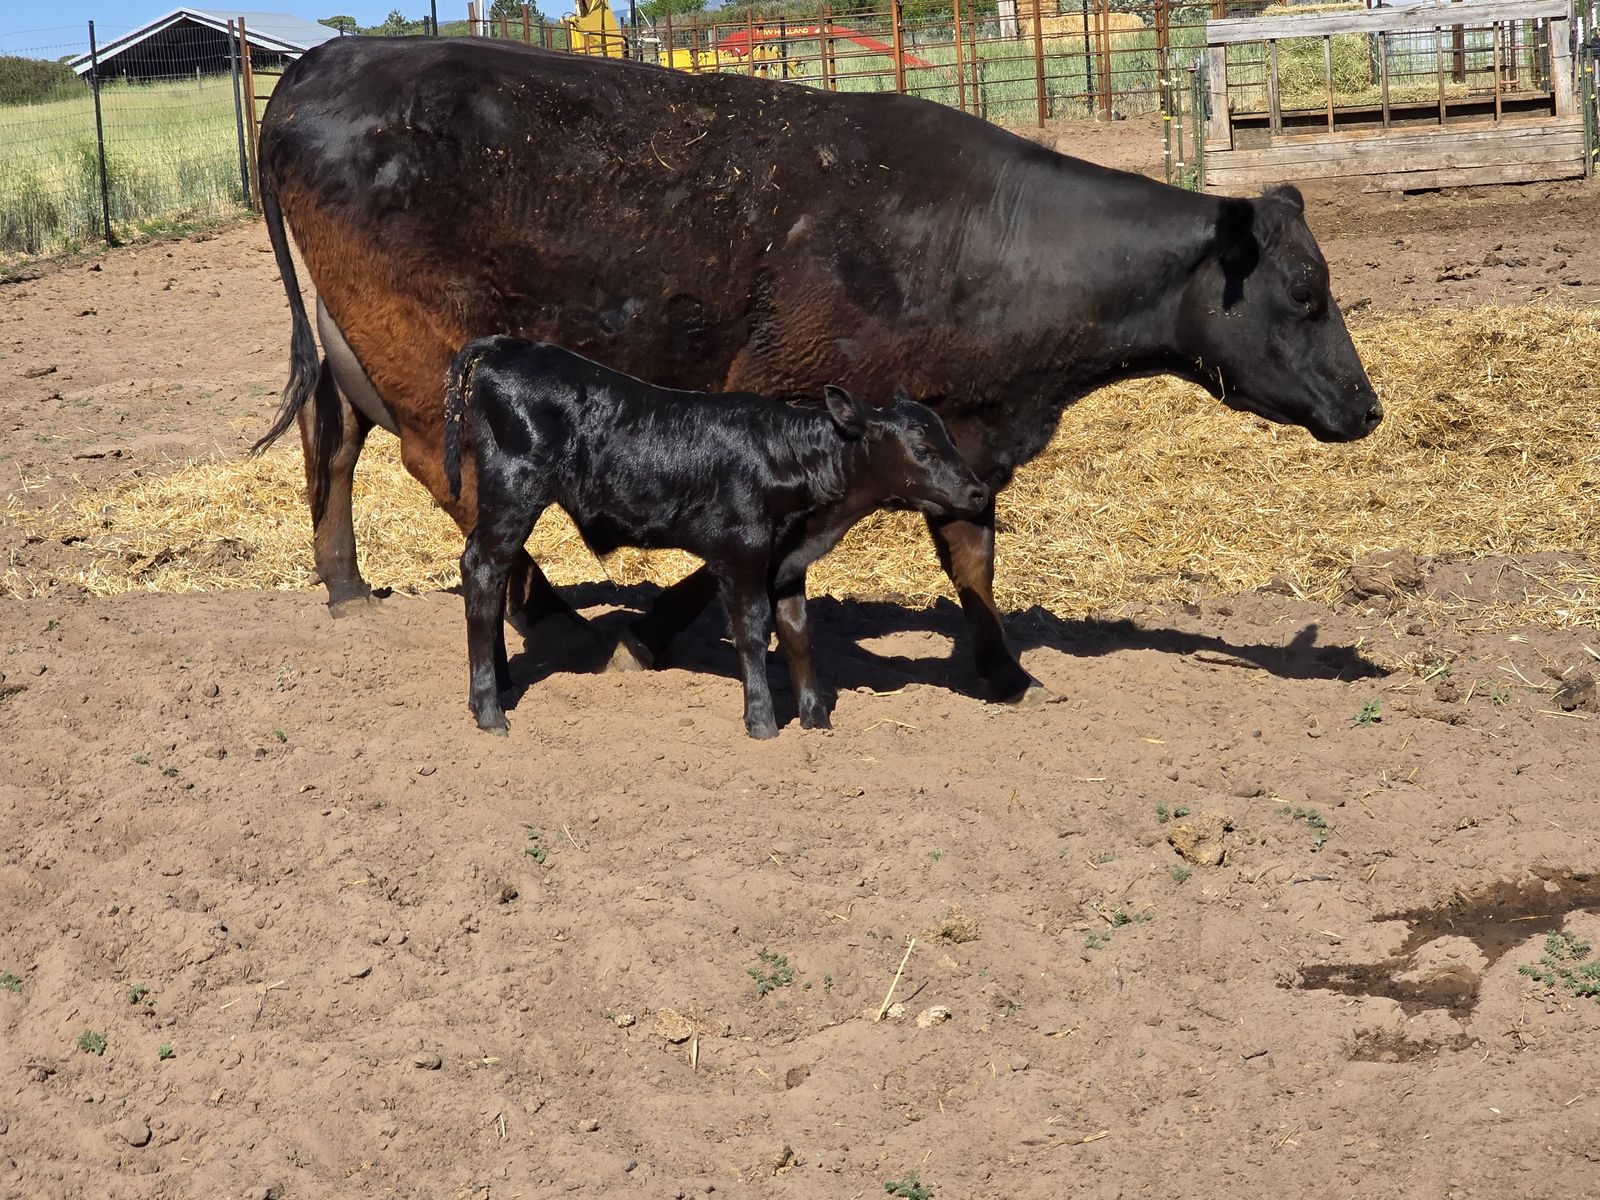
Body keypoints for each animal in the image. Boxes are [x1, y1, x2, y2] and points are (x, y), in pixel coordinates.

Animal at [442, 337, 988, 737]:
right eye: (922, 449)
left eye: (950, 439)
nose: (979, 491)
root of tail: (507, 344)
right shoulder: (742, 554)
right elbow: (752, 629)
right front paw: (763, 722)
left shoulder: (788, 564)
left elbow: (798, 632)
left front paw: (816, 722)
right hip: (514, 491)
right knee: (483, 570)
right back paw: (490, 710)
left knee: (490, 573)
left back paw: (496, 686)